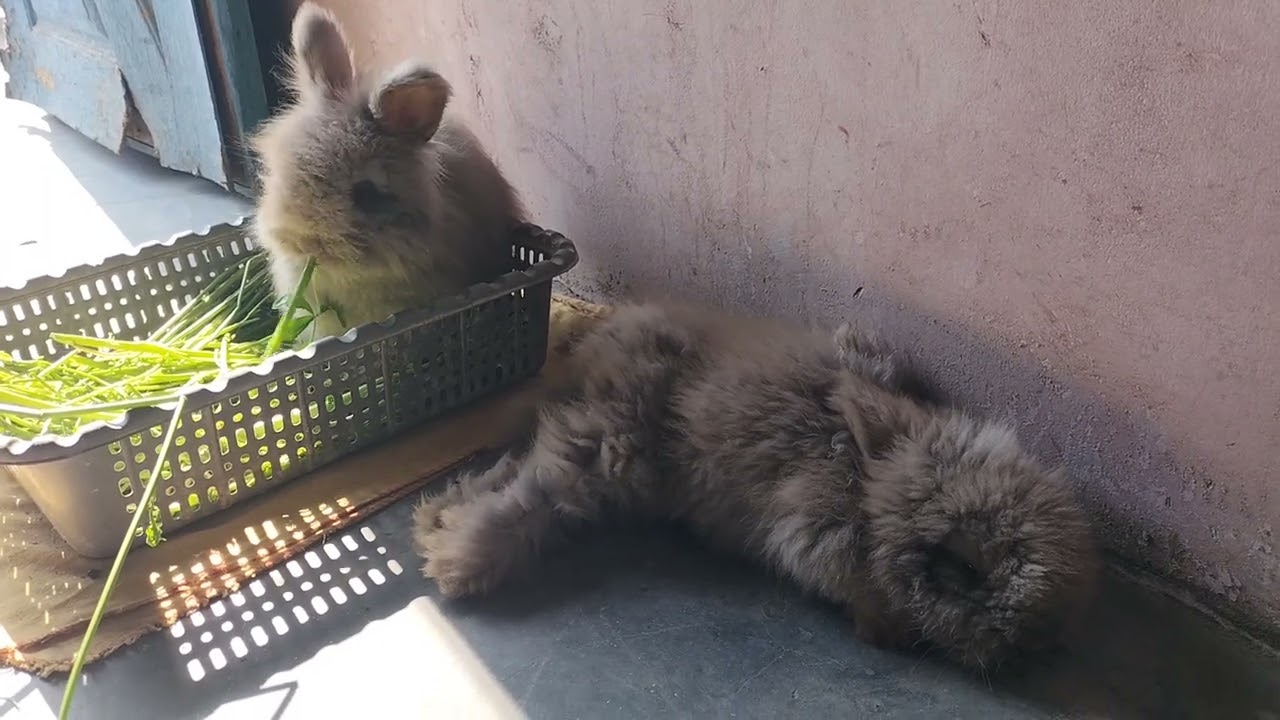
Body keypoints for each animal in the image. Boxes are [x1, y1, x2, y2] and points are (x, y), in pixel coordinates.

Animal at [411, 301, 1099, 672]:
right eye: (966, 568)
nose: (1024, 644)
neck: (869, 489)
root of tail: (598, 342)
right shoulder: (812, 528)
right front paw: (884, 626)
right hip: (610, 449)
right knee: (531, 491)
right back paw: (457, 563)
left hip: (593, 449)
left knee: (518, 467)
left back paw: (434, 523)